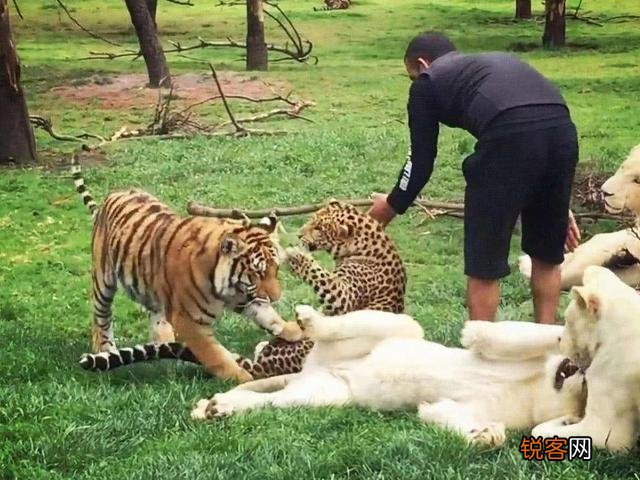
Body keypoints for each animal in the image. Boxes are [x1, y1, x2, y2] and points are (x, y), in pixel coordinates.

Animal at [71, 157, 303, 383]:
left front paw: (292, 329)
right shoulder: (188, 322)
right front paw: (241, 376)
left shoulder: (244, 296)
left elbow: (266, 314)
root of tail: (113, 194)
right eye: (257, 273)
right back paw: (104, 349)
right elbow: (215, 355)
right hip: (103, 281)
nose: (276, 297)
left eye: (275, 269)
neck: (225, 285)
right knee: (100, 319)